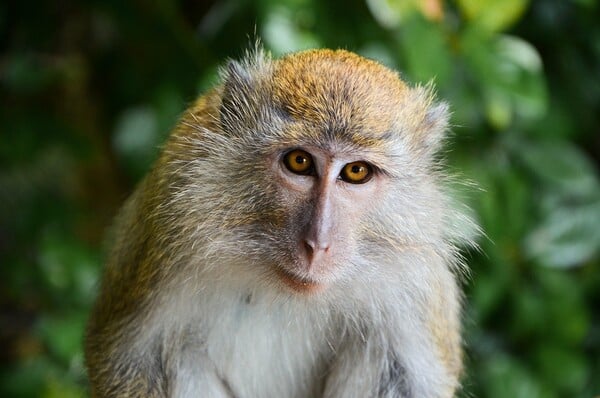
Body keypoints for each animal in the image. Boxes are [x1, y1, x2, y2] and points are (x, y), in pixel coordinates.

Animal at [86, 47, 476, 398]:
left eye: (356, 171)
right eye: (299, 161)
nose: (318, 244)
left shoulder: (416, 281)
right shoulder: (171, 224)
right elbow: (133, 359)